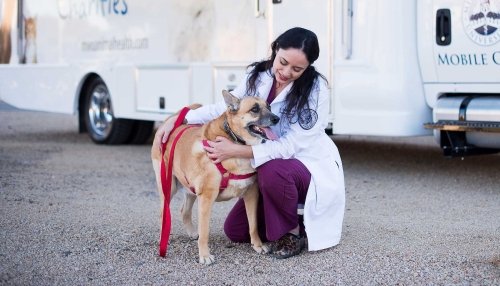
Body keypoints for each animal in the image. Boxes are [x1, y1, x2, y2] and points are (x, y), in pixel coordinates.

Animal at [150, 90, 280, 264]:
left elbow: (253, 225)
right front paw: (204, 255)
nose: (276, 118)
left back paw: (192, 233)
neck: (236, 142)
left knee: (184, 211)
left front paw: (257, 245)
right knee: (163, 214)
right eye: (254, 109)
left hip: (190, 188)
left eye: (269, 107)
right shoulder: (206, 197)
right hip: (169, 188)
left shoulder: (252, 193)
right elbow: (205, 231)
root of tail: (169, 122)